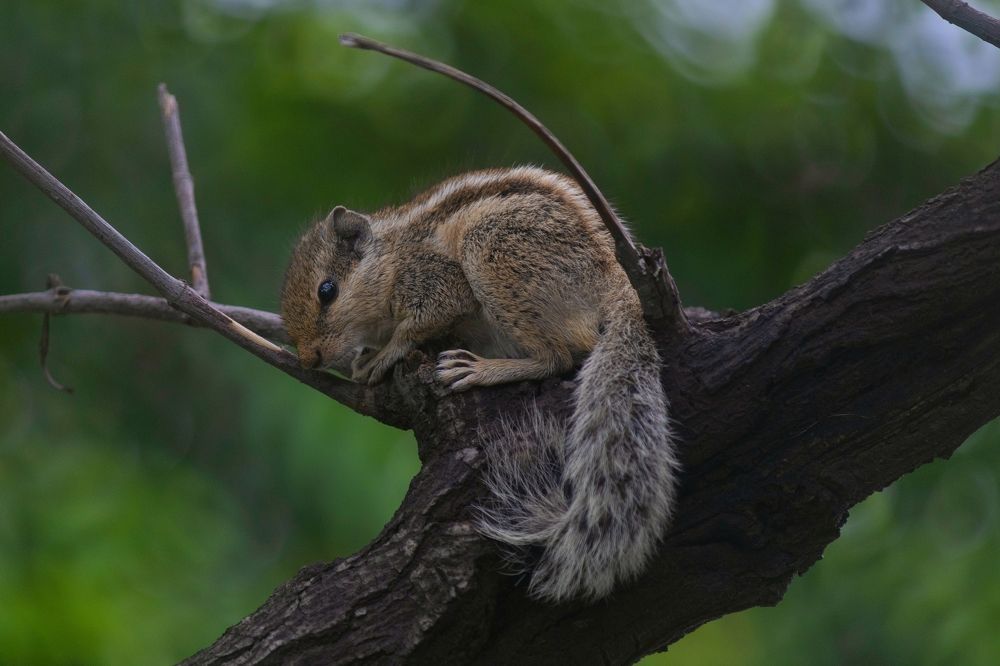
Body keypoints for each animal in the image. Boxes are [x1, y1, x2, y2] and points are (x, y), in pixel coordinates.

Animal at [281, 166, 679, 602]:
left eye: (327, 291)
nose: (308, 359)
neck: (389, 258)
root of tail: (617, 285)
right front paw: (366, 355)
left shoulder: (433, 281)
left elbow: (419, 323)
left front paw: (383, 356)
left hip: (492, 250)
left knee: (556, 357)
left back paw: (481, 369)